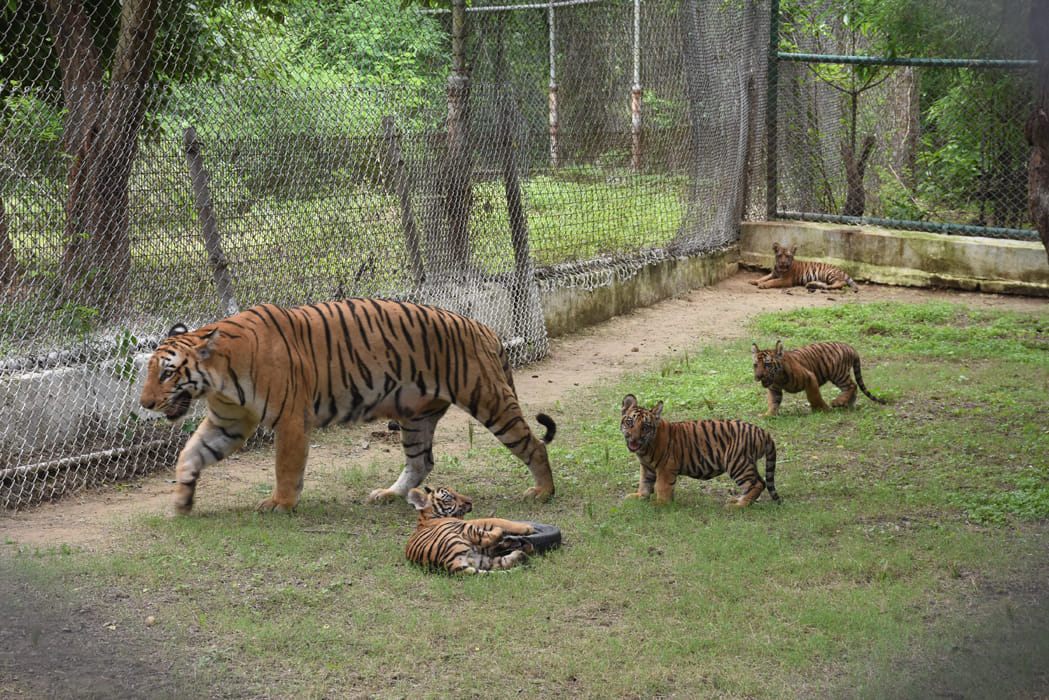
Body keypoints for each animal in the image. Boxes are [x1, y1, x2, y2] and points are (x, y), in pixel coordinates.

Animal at [138, 299, 556, 515]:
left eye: (167, 373)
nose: (145, 403)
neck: (219, 378)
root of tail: (486, 329)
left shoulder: (290, 420)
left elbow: (285, 468)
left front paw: (280, 503)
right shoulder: (228, 422)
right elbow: (190, 455)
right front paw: (182, 500)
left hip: (488, 398)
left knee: (533, 444)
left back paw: (542, 492)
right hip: (416, 417)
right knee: (421, 461)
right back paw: (389, 494)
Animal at [405, 485, 536, 574]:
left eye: (456, 491)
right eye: (450, 497)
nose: (470, 501)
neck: (426, 518)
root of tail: (449, 564)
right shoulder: (473, 522)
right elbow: (497, 520)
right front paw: (527, 527)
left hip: (480, 558)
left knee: (499, 560)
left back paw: (520, 552)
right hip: (464, 529)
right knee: (489, 538)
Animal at [620, 394, 779, 508]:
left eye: (645, 427)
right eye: (630, 422)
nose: (634, 439)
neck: (644, 448)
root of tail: (763, 432)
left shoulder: (666, 467)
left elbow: (662, 486)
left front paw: (660, 504)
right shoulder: (647, 467)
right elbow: (644, 482)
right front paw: (639, 496)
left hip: (738, 463)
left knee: (757, 484)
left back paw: (738, 506)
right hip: (747, 463)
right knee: (758, 482)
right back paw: (737, 500)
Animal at [751, 340, 887, 416]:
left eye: (767, 365)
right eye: (755, 365)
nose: (758, 377)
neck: (778, 378)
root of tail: (850, 347)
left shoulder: (810, 377)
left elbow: (814, 396)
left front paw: (822, 409)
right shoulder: (774, 389)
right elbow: (773, 402)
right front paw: (768, 415)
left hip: (838, 374)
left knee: (852, 385)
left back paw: (838, 402)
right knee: (851, 388)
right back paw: (847, 404)